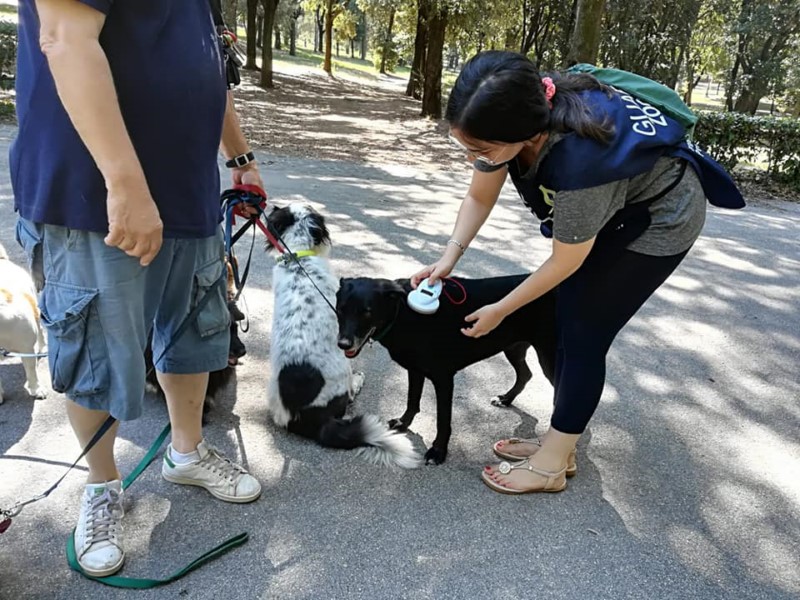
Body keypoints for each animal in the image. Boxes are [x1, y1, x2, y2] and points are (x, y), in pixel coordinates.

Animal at [334, 274, 552, 466]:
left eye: (367, 312)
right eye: (340, 309)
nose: (343, 344)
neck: (402, 314)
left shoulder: (444, 378)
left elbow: (442, 420)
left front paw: (438, 451)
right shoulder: (415, 369)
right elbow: (412, 399)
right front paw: (404, 423)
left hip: (548, 358)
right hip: (513, 347)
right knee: (526, 374)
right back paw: (506, 399)